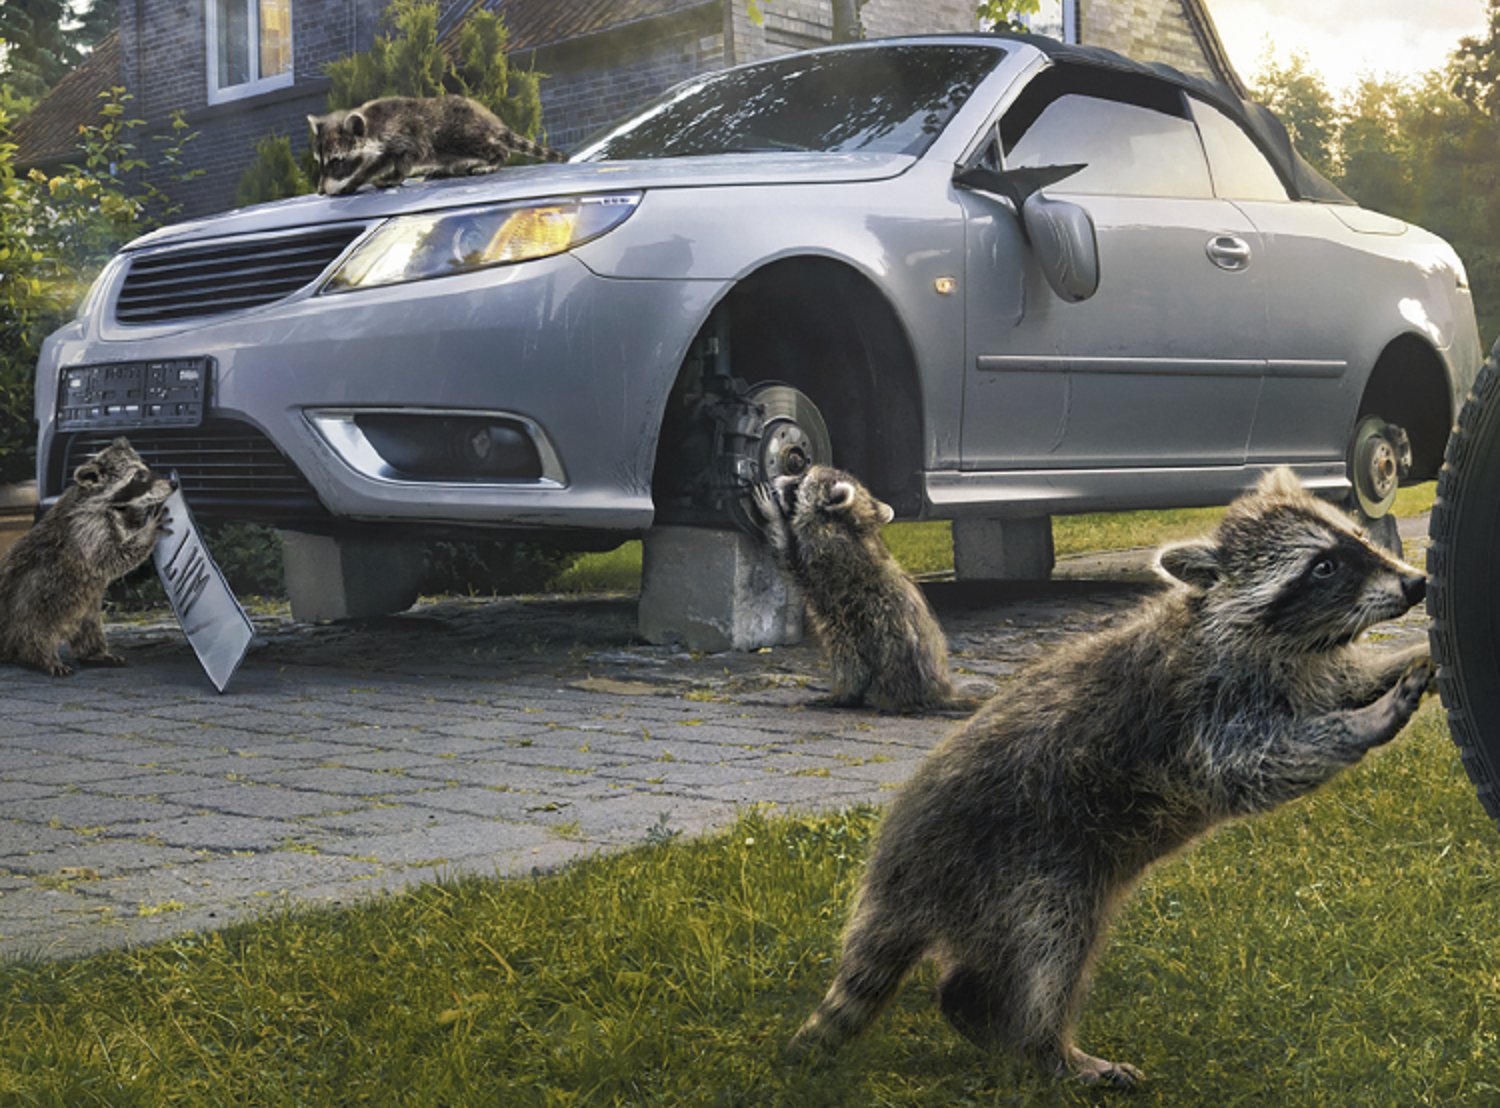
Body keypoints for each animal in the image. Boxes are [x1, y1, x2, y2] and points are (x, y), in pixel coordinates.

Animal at [0, 440, 171, 674]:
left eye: (147, 469)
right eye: (139, 476)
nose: (173, 484)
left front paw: (139, 515)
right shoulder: (88, 528)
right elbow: (111, 558)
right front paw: (148, 530)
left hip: (83, 608)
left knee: (89, 630)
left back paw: (94, 653)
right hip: (37, 602)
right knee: (35, 631)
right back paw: (40, 657)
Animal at [756, 464, 954, 710]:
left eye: (799, 481)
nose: (775, 478)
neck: (850, 524)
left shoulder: (823, 557)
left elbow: (790, 561)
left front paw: (773, 516)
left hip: (860, 636)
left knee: (850, 664)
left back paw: (843, 696)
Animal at [792, 464, 1434, 1085]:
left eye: (1357, 539)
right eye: (1323, 567)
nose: (1417, 584)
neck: (1269, 638)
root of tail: (899, 870)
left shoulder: (1297, 672)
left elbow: (1339, 682)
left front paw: (1400, 660)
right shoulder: (1197, 716)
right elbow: (1260, 765)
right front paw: (1367, 719)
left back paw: (974, 1011)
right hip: (1021, 867)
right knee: (1052, 950)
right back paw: (1049, 1048)